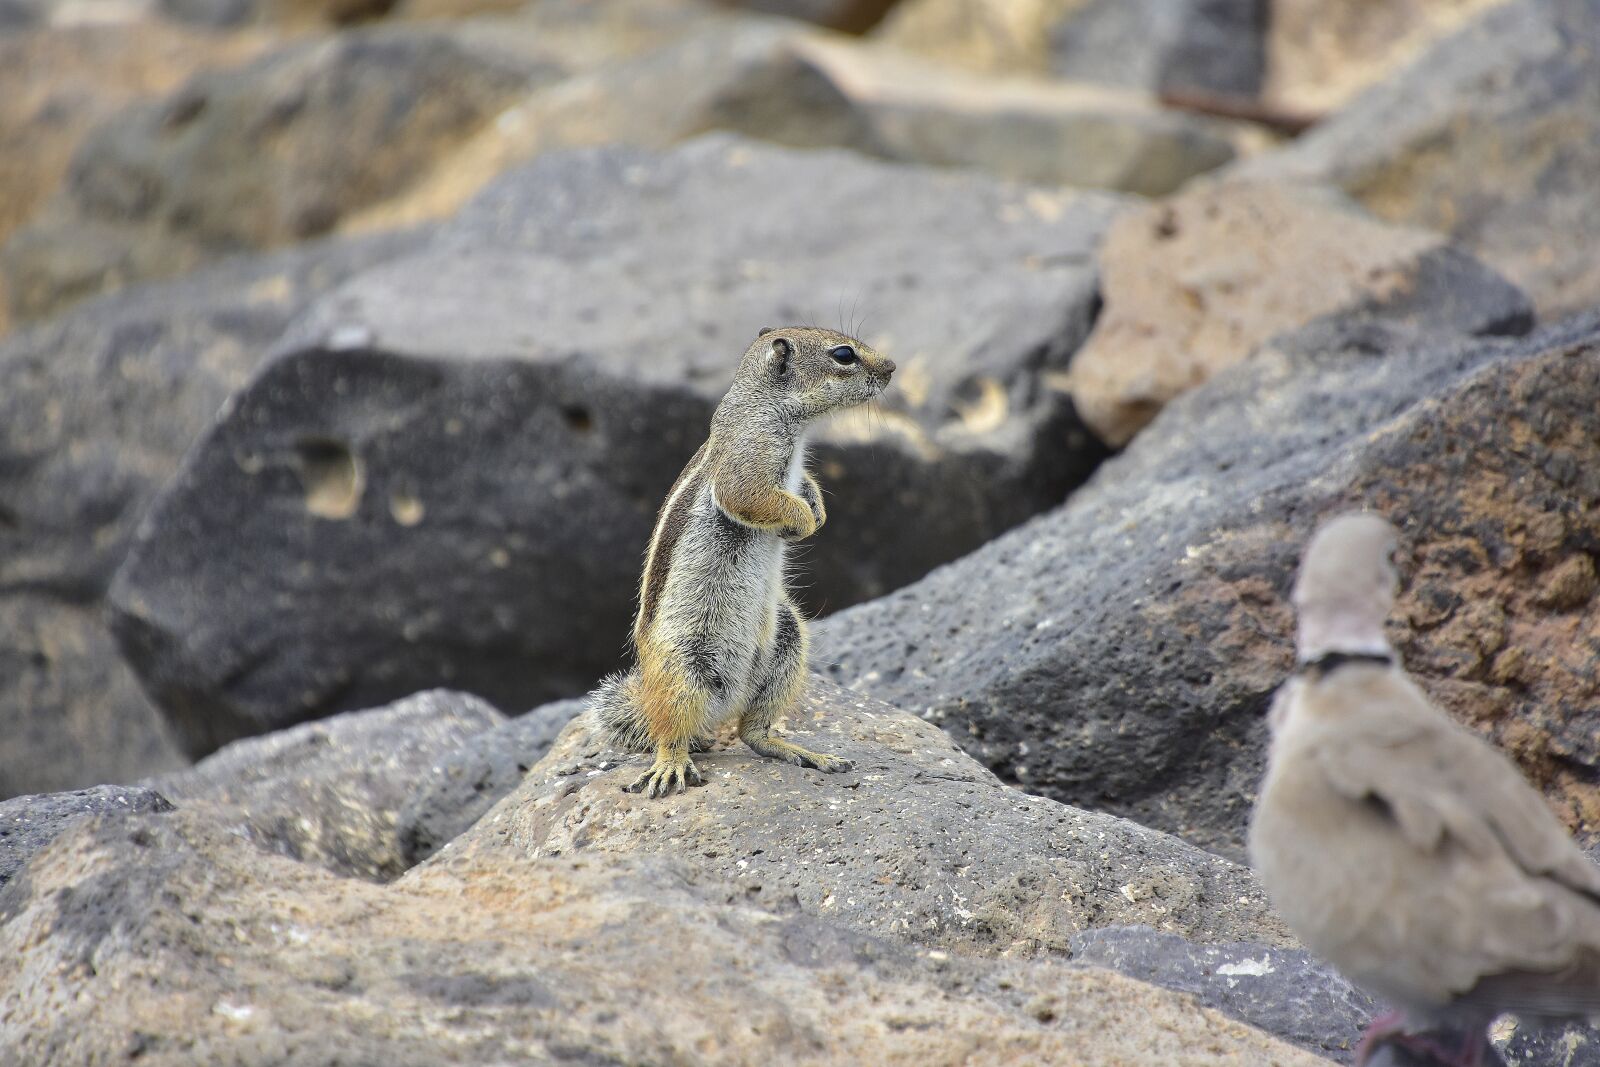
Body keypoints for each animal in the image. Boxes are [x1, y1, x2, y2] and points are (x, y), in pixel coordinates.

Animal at [586, 326, 895, 798]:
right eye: (844, 355)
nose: (892, 368)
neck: (764, 405)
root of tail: (719, 710)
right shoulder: (749, 456)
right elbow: (748, 494)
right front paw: (804, 522)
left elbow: (804, 485)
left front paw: (816, 510)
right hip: (683, 666)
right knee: (670, 731)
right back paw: (670, 764)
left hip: (787, 641)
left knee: (752, 732)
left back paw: (800, 751)